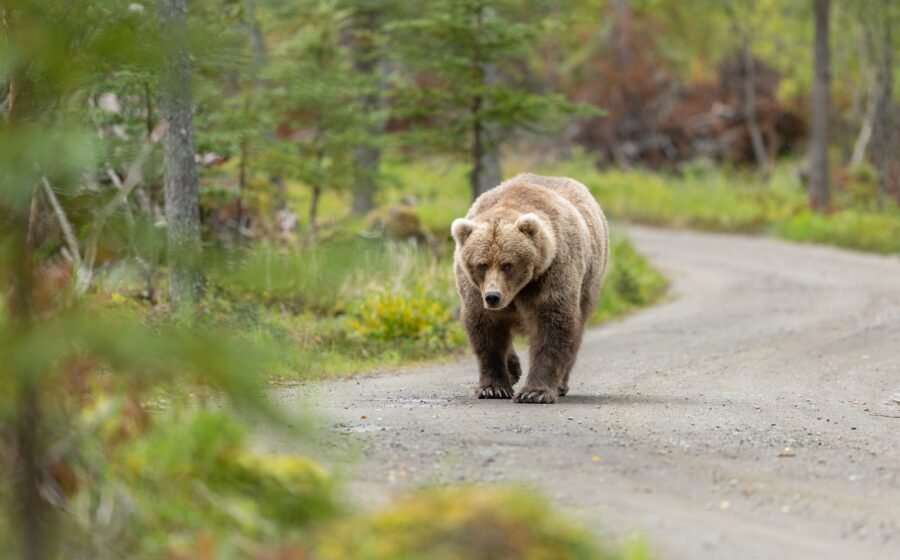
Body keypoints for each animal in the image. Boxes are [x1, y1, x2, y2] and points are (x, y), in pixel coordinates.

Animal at [451, 173, 609, 404]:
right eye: (482, 264)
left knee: (576, 328)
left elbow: (552, 325)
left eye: (507, 264)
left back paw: (560, 384)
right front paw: (494, 388)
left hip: (589, 280)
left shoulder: (551, 273)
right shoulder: (473, 288)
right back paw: (514, 369)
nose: (493, 296)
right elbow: (486, 330)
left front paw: (535, 392)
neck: (518, 290)